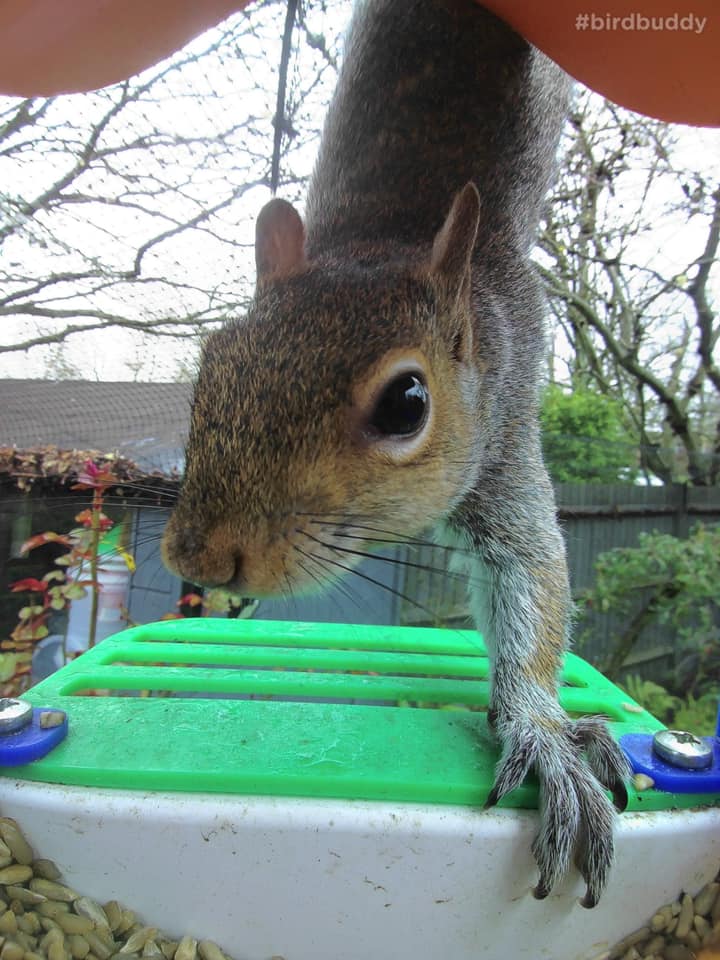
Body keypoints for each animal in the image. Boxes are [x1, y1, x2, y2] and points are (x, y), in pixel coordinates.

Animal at [162, 0, 629, 907]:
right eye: (213, 362)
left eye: (407, 403)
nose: (198, 556)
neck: (383, 241)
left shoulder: (506, 442)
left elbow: (533, 575)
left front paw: (541, 731)